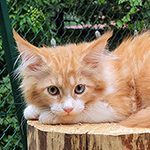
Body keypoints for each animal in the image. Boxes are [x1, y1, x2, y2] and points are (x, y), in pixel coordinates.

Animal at [13, 29, 150, 127]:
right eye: (52, 90)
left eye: (79, 89)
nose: (68, 109)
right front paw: (33, 109)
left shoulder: (123, 105)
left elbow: (85, 111)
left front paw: (46, 115)